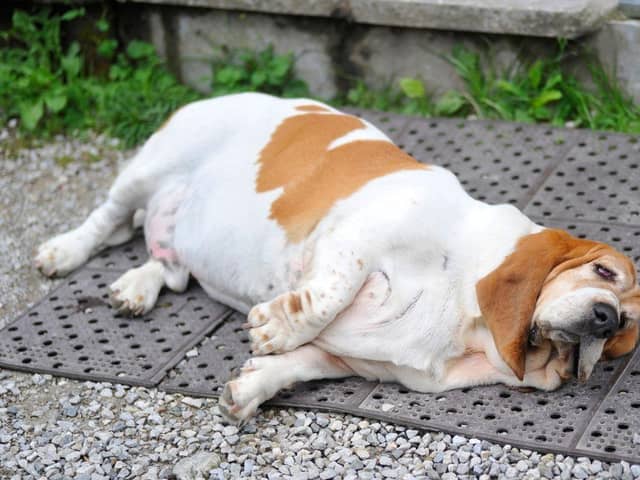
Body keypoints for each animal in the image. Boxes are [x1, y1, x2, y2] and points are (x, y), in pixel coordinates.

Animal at [36, 94, 640, 424]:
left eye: (624, 330)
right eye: (602, 271)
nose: (606, 317)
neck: (465, 319)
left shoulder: (356, 361)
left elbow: (300, 364)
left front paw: (249, 389)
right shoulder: (355, 239)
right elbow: (326, 297)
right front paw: (274, 327)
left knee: (166, 262)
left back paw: (136, 289)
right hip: (147, 171)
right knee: (108, 222)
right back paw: (62, 251)